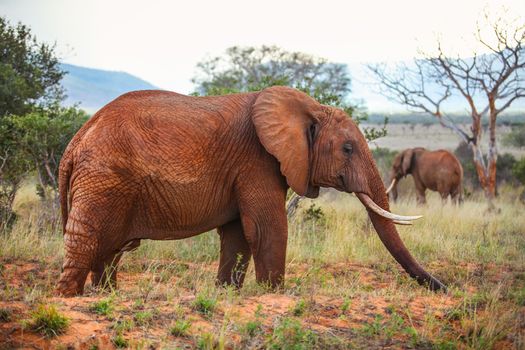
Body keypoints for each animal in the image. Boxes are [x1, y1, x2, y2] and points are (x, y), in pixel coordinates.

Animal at [55, 85, 444, 296]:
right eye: (347, 149)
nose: (445, 287)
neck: (306, 107)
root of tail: (75, 141)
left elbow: (237, 235)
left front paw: (228, 292)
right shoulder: (257, 160)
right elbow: (266, 227)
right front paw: (275, 294)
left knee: (110, 248)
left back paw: (105, 295)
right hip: (102, 177)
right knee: (87, 238)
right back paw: (71, 300)